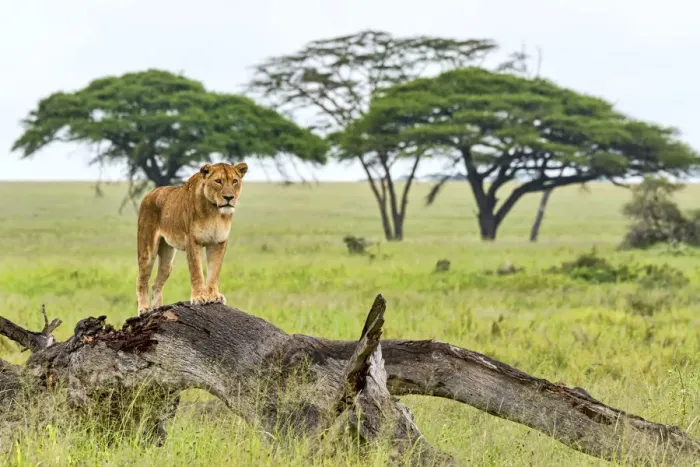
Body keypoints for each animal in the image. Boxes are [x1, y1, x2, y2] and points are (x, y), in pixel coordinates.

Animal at [135, 162, 248, 314]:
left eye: (234, 181)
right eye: (218, 181)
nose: (229, 197)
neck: (215, 211)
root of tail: (149, 194)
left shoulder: (218, 243)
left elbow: (214, 272)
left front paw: (215, 296)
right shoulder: (193, 242)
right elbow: (197, 272)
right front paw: (199, 297)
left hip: (167, 261)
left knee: (156, 283)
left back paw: (158, 308)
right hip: (147, 252)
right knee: (141, 280)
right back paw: (144, 308)